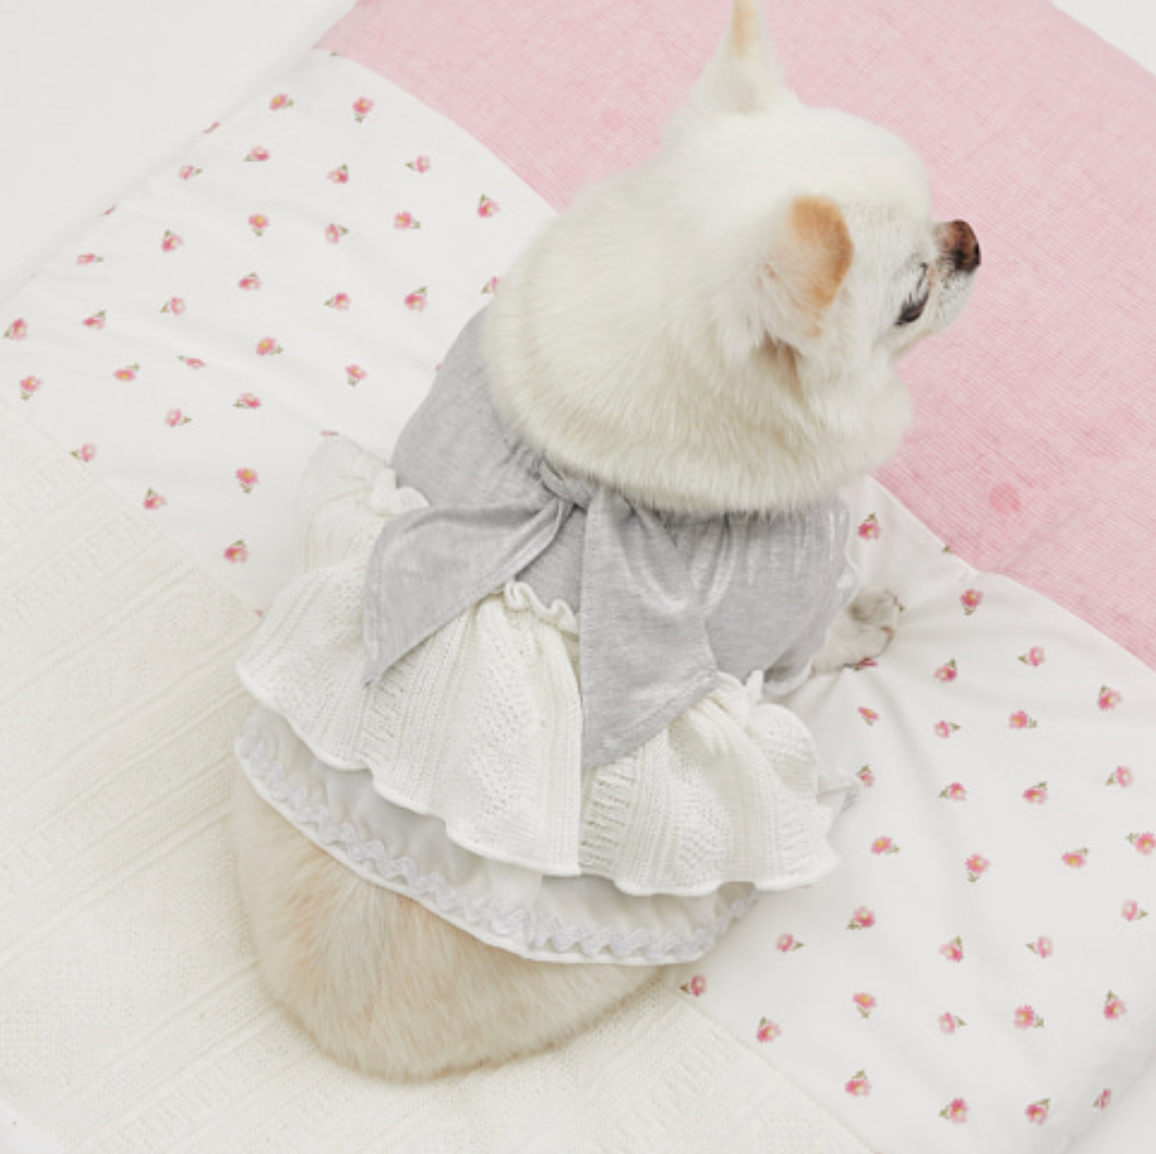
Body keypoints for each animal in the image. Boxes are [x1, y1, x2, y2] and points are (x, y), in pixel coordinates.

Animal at [231, 0, 979, 1081]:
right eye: (912, 295)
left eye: (941, 225)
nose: (972, 239)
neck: (583, 466)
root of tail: (344, 1031)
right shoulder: (792, 600)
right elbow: (828, 631)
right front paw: (869, 615)